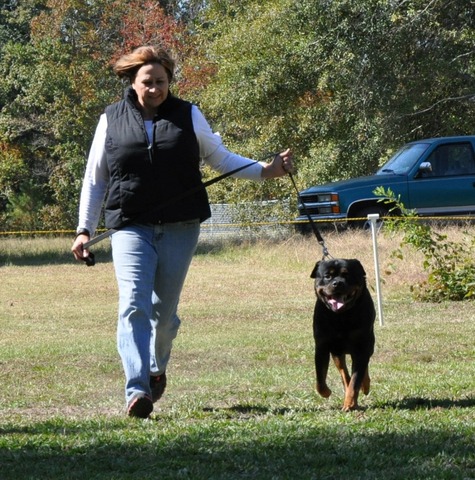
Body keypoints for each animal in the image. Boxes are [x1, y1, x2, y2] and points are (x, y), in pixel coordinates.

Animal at [312, 258, 376, 412]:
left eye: (347, 275)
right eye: (327, 276)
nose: (338, 283)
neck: (341, 317)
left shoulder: (361, 348)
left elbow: (355, 381)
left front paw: (349, 404)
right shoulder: (322, 347)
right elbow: (320, 380)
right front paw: (326, 392)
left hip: (369, 345)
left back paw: (365, 385)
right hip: (337, 353)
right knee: (345, 375)